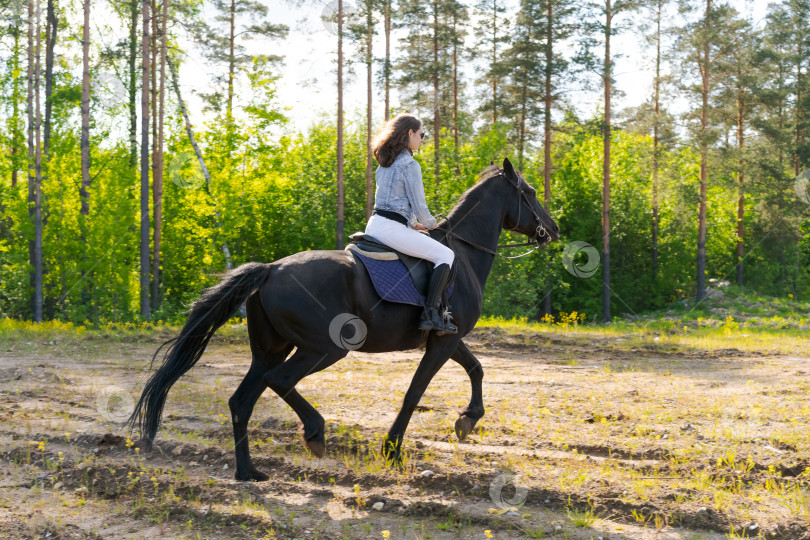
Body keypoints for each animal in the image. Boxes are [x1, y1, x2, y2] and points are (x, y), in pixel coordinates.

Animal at [126, 157, 560, 480]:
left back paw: (248, 472)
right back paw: (315, 434)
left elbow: (476, 368)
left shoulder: (447, 338)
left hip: (270, 350)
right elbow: (415, 392)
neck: (463, 256)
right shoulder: (442, 342)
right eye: (530, 193)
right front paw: (392, 451)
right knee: (279, 381)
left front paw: (468, 420)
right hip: (324, 348)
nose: (553, 229)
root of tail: (271, 269)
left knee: (242, 400)